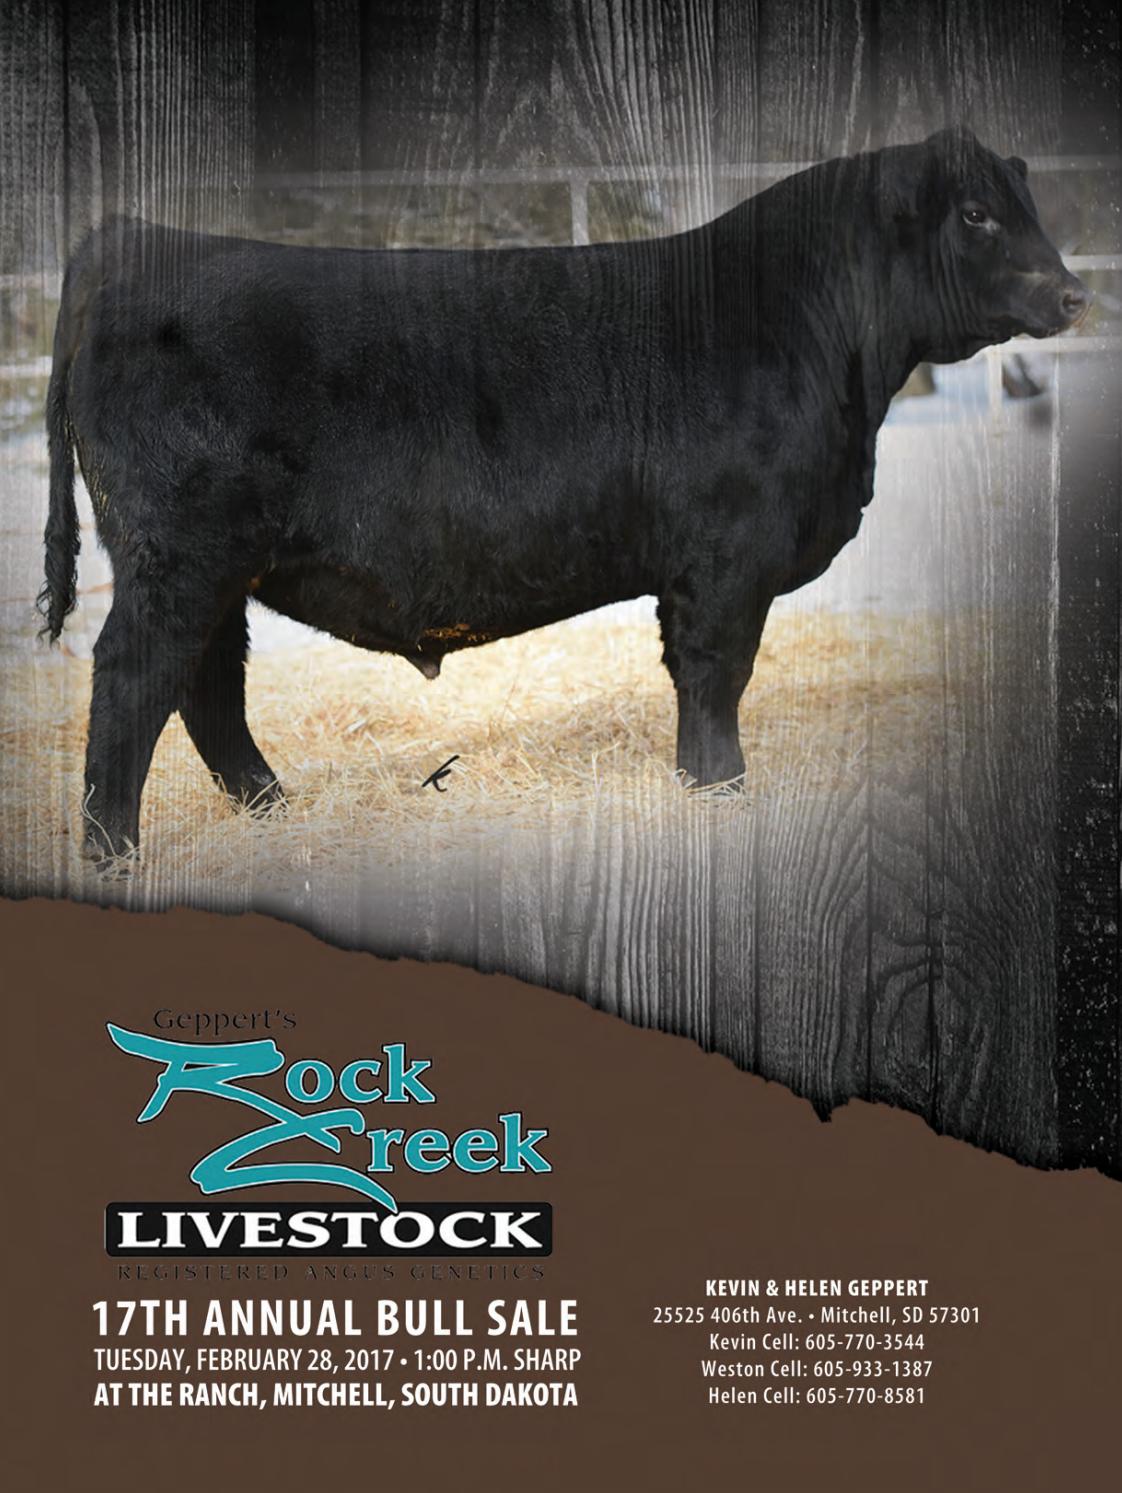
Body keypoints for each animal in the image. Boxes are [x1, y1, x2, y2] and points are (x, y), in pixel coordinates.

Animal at [40, 126, 1087, 865]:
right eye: (976, 215)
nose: (1076, 295)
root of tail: (128, 241)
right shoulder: (727, 555)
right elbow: (717, 677)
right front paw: (722, 794)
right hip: (181, 555)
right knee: (134, 678)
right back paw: (114, 854)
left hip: (214, 568)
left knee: (207, 687)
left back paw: (273, 811)